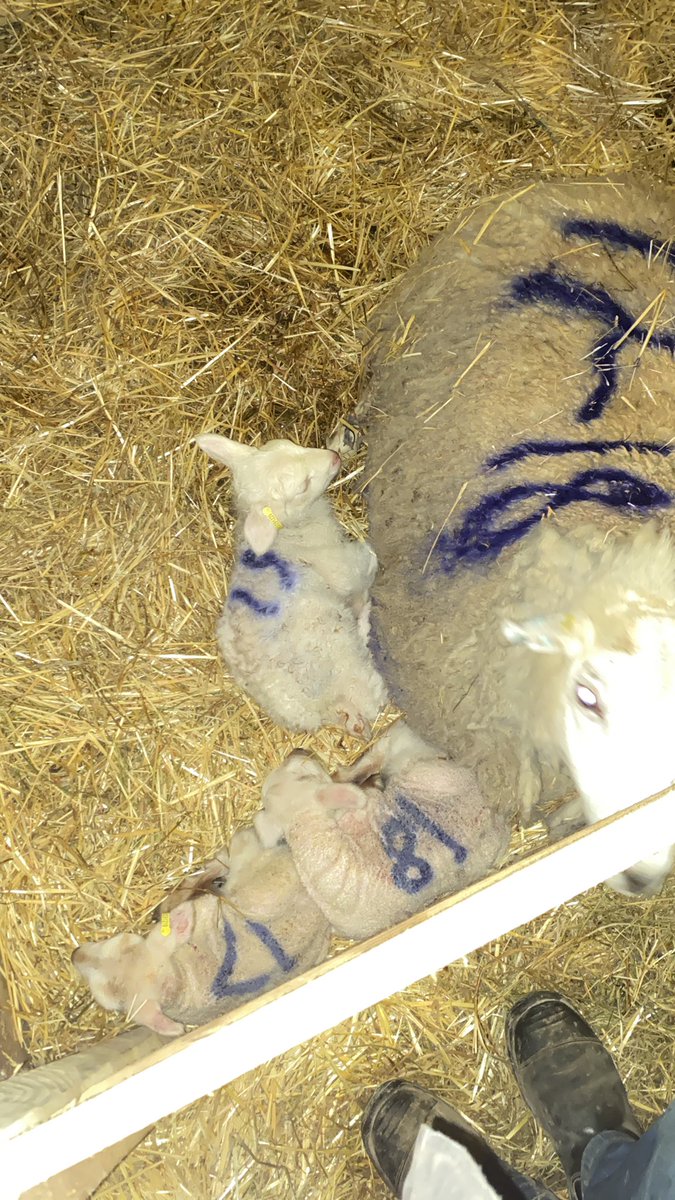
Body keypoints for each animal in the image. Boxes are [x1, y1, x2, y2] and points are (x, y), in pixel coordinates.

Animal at [71, 829, 331, 1035]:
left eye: (107, 1001)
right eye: (123, 940)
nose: (75, 955)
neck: (184, 978)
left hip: (247, 850)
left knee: (224, 855)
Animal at [197, 433, 387, 738]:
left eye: (290, 444)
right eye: (303, 486)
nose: (334, 457)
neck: (291, 533)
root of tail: (317, 708)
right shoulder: (346, 566)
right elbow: (369, 557)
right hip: (353, 670)